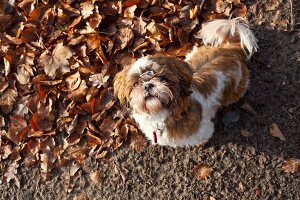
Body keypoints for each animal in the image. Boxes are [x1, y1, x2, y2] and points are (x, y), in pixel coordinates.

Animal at [113, 17, 258, 147]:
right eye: (136, 84)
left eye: (162, 78)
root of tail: (231, 50)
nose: (148, 85)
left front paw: (201, 143)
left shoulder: (203, 129)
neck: (161, 114)